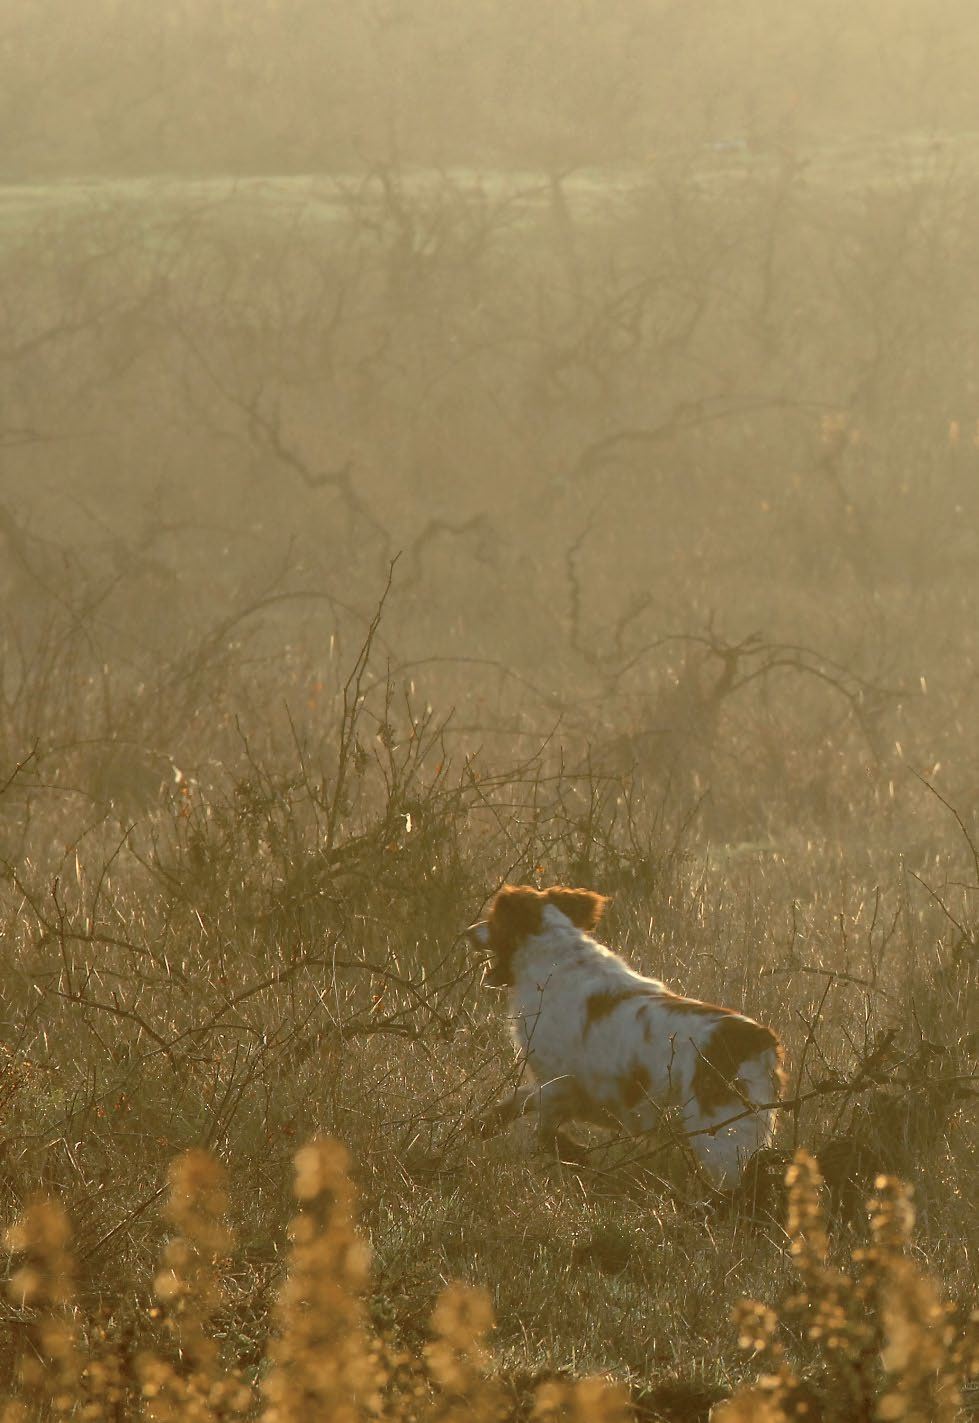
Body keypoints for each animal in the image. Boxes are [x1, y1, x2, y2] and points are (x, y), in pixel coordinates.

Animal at [469, 882, 785, 1183]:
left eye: (494, 919)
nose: (468, 931)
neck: (556, 958)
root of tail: (760, 1040)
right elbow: (518, 1101)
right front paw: (484, 1125)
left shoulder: (558, 1083)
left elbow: (545, 1131)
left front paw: (576, 1154)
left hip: (721, 1142)